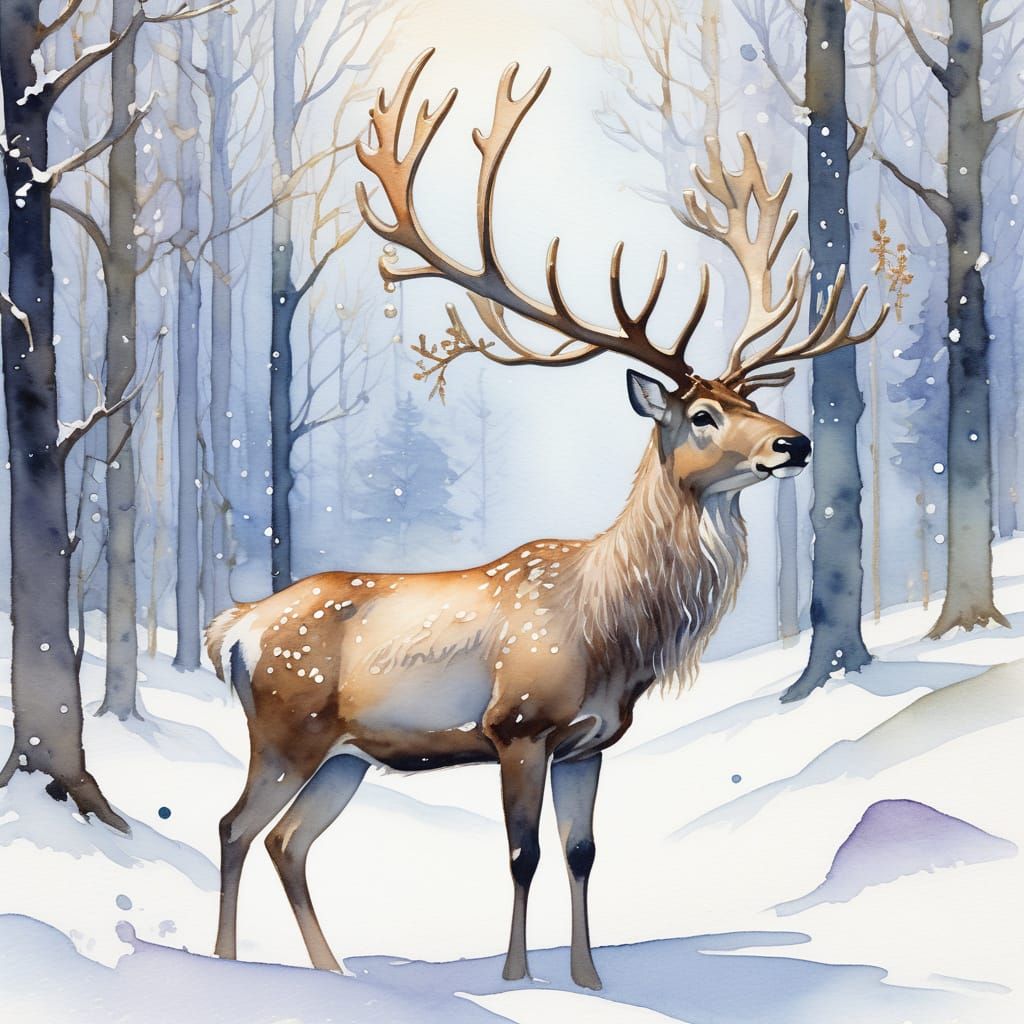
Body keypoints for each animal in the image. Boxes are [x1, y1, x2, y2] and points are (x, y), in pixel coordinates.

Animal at [208, 49, 887, 991]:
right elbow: (523, 854)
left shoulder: (590, 742)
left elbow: (582, 853)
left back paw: (330, 972)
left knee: (288, 842)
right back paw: (228, 965)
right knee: (236, 826)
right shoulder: (518, 726)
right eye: (702, 415)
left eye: (752, 401)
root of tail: (232, 627)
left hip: (346, 756)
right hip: (285, 727)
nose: (794, 443)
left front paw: (591, 979)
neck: (611, 631)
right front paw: (518, 978)